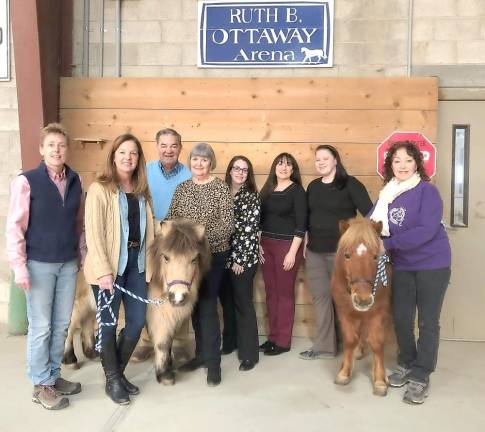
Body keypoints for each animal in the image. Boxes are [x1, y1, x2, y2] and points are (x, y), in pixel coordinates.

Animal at [130, 219, 210, 384]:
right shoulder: (158, 315)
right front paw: (164, 374)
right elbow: (162, 342)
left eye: (194, 259)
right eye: (166, 257)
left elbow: (170, 340)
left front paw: (170, 364)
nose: (178, 297)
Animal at [330, 218, 392, 396]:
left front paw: (380, 379)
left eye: (375, 257)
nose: (363, 300)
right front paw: (344, 372)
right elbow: (350, 340)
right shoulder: (345, 312)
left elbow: (377, 343)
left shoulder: (378, 313)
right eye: (346, 255)